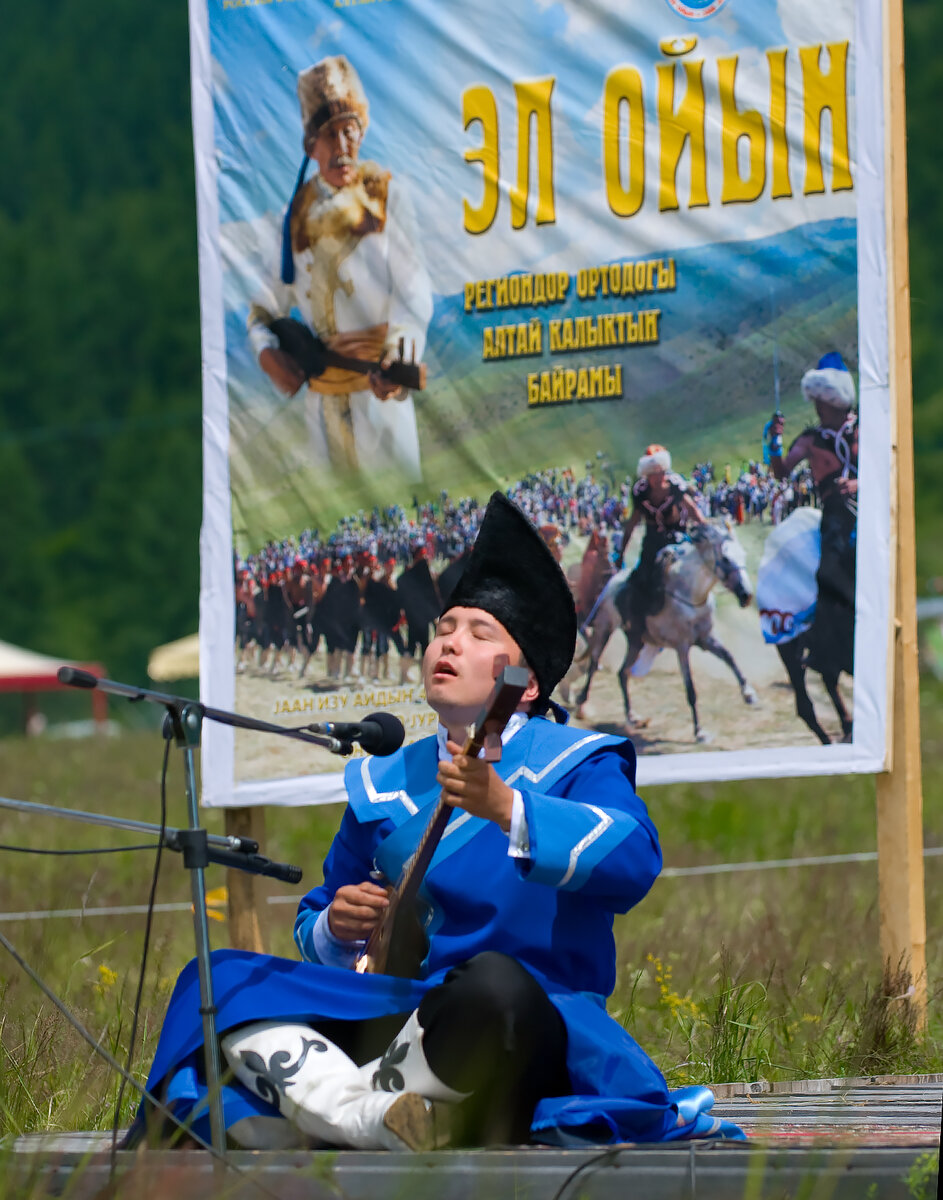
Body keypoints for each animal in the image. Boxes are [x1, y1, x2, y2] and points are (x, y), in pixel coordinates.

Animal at [573, 523, 758, 739]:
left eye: (743, 555)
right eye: (727, 559)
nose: (746, 595)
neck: (690, 595)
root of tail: (612, 581)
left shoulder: (706, 639)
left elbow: (729, 658)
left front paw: (749, 694)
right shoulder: (682, 647)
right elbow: (691, 689)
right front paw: (699, 732)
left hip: (636, 640)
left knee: (623, 673)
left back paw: (632, 716)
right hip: (605, 627)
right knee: (594, 662)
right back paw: (581, 702)